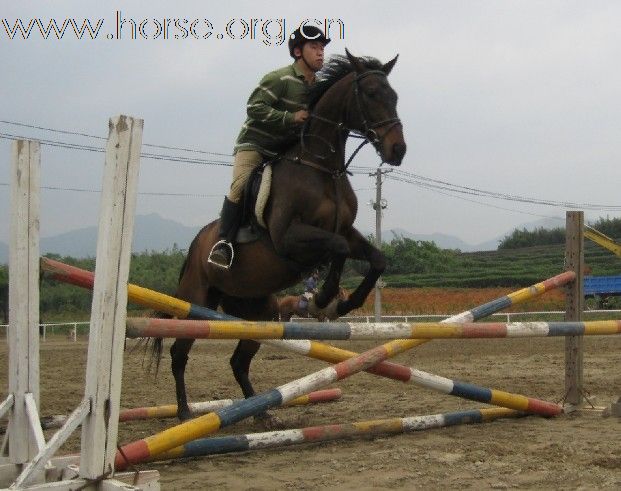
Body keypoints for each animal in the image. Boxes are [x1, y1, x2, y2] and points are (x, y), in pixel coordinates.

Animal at [155, 51, 406, 426]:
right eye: (372, 94)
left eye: (395, 96)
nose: (398, 150)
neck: (321, 167)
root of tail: (197, 244)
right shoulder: (289, 238)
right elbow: (338, 249)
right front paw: (324, 299)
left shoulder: (345, 230)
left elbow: (376, 258)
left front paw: (344, 303)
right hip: (197, 303)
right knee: (179, 352)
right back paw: (185, 413)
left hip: (259, 312)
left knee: (238, 361)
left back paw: (262, 416)